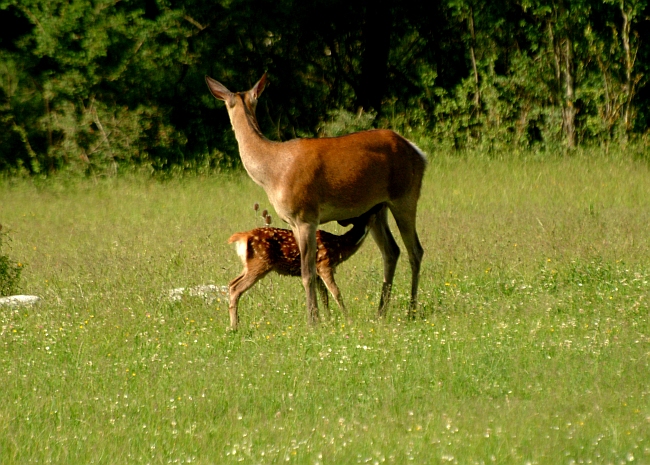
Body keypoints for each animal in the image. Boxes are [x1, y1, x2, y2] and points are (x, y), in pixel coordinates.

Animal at [206, 75, 426, 322]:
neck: (271, 172)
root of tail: (419, 153)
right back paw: (380, 311)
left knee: (415, 250)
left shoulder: (306, 216)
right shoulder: (293, 222)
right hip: (379, 206)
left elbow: (308, 272)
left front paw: (312, 319)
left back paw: (411, 311)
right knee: (391, 251)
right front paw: (319, 317)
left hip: (405, 196)